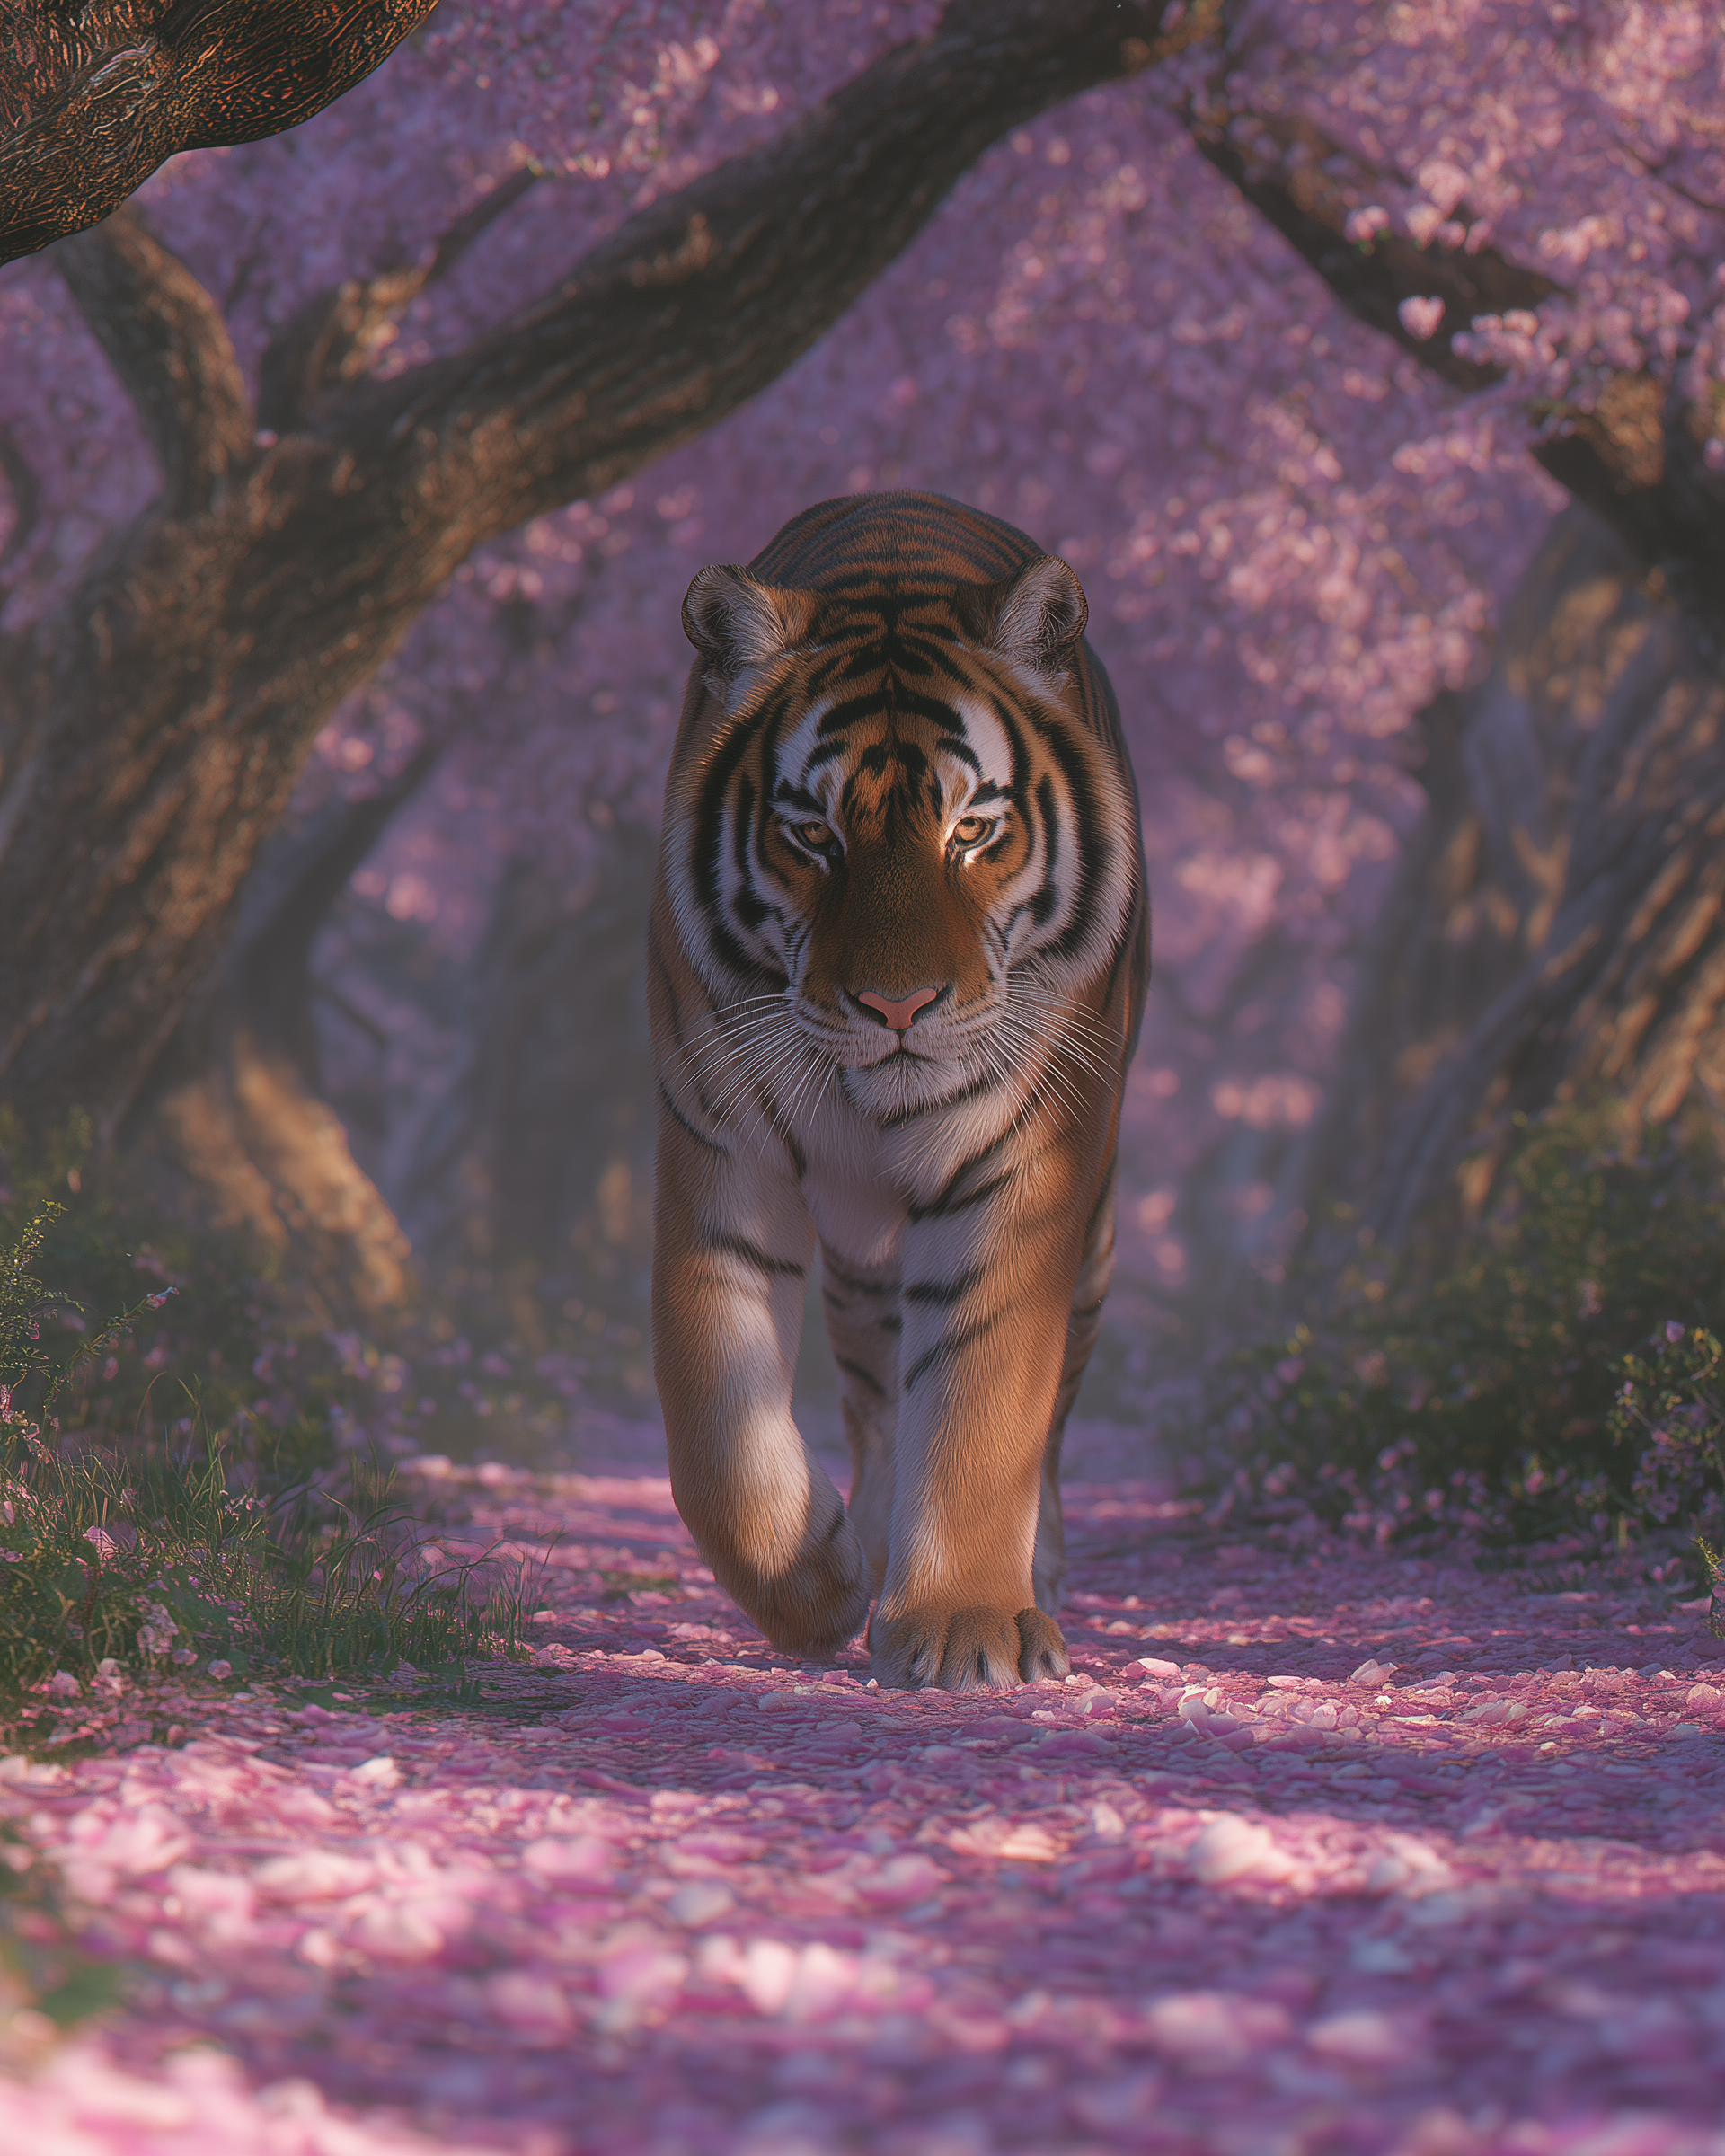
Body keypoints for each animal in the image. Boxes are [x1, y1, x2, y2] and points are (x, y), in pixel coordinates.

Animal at [648, 490, 1149, 1690]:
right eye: (811, 834)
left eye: (972, 830)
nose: (898, 1006)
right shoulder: (717, 1147)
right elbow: (713, 1425)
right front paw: (817, 1585)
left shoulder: (1026, 1160)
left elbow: (985, 1392)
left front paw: (969, 1625)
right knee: (875, 1393)